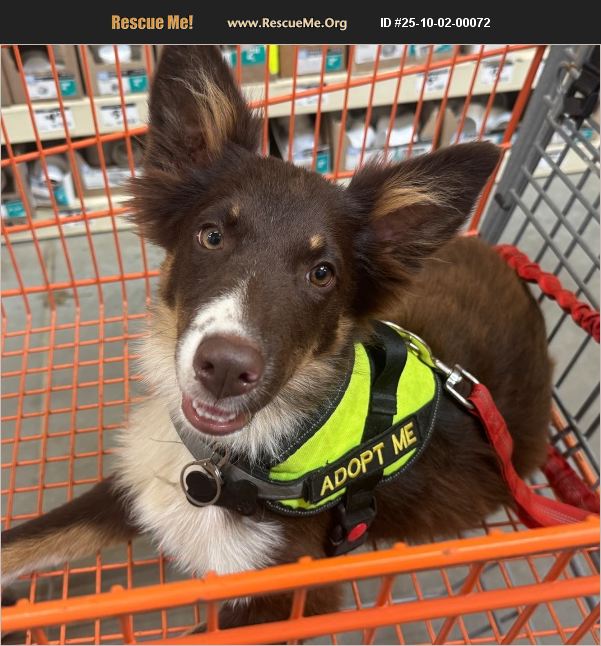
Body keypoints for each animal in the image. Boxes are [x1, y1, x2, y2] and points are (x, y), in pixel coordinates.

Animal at [2, 46, 552, 628]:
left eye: (322, 273)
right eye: (211, 236)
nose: (224, 369)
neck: (224, 464)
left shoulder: (291, 592)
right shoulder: (136, 483)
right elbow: (22, 542)